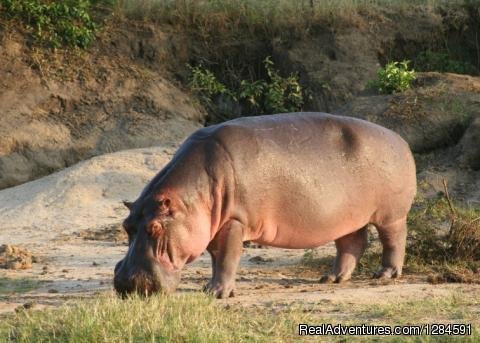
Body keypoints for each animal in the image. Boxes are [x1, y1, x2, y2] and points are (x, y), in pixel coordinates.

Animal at [113, 112, 416, 298]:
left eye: (155, 227)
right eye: (127, 226)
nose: (127, 283)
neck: (193, 198)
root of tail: (400, 139)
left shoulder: (235, 221)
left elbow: (227, 258)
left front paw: (217, 294)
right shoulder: (214, 225)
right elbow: (216, 259)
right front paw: (209, 288)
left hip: (391, 215)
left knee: (394, 240)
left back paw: (385, 274)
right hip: (346, 217)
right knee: (352, 244)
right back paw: (331, 278)